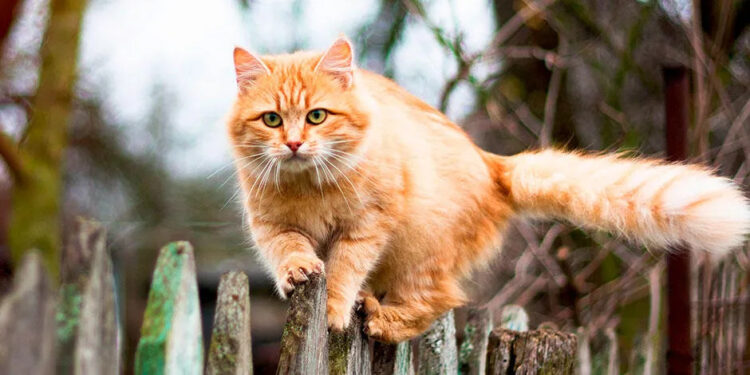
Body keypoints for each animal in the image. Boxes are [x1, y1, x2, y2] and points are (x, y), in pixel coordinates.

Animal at [228, 36, 750, 342]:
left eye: (317, 116)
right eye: (271, 120)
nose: (294, 144)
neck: (308, 187)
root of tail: (491, 164)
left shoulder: (367, 226)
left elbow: (342, 271)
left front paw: (335, 310)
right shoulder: (272, 228)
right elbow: (292, 252)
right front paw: (298, 271)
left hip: (423, 253)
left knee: (437, 302)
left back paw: (380, 319)